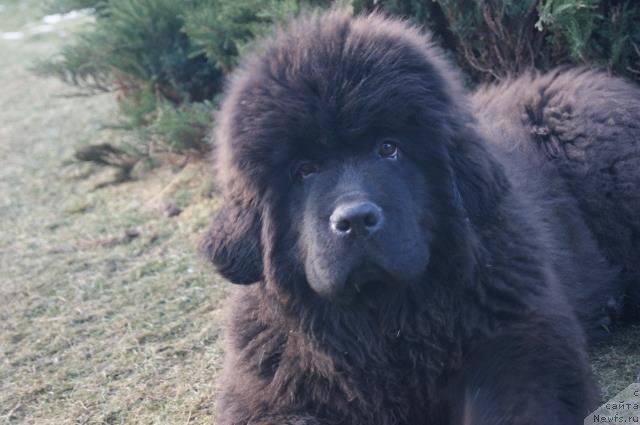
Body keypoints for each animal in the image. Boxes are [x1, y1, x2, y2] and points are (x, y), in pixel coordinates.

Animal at [202, 9, 640, 424]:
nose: (355, 220)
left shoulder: (519, 344)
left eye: (388, 148)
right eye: (304, 170)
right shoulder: (271, 390)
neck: (384, 318)